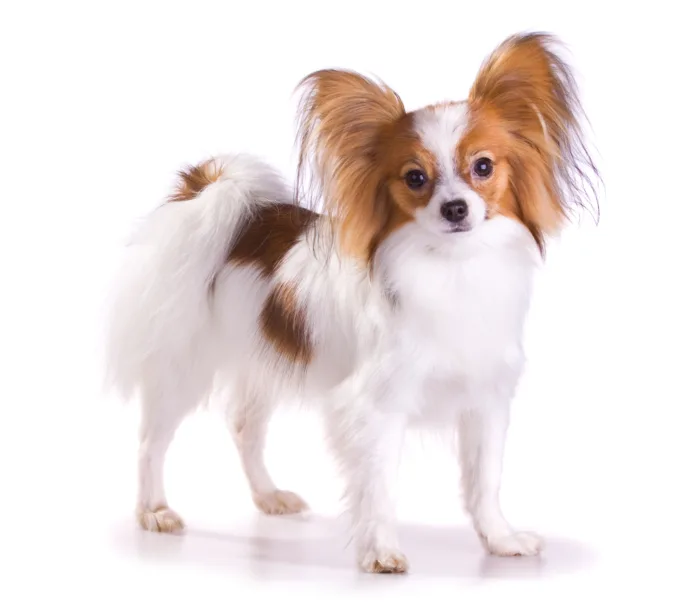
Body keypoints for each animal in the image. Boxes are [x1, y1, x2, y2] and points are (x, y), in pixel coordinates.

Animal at [103, 32, 600, 572]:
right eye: (415, 178)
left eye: (483, 167)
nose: (455, 208)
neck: (451, 268)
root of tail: (212, 194)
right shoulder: (374, 408)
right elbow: (378, 487)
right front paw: (381, 552)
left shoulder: (485, 400)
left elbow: (484, 483)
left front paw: (501, 540)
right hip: (184, 363)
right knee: (151, 439)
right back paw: (154, 510)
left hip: (264, 359)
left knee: (243, 427)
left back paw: (268, 497)